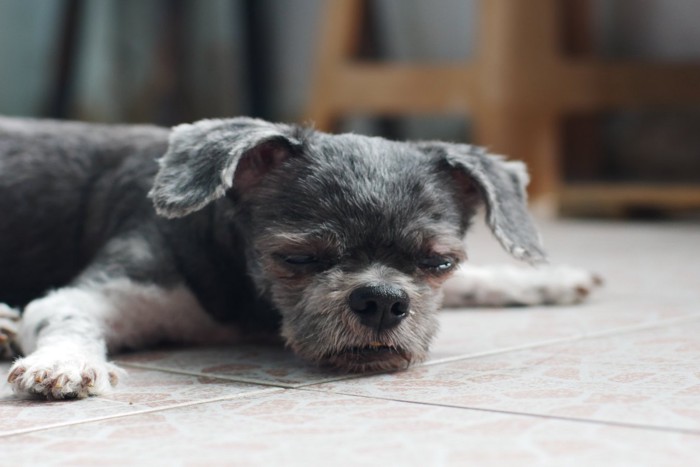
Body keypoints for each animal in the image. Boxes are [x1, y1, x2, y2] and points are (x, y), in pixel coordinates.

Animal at [0, 116, 600, 398]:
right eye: (299, 258)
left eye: (439, 262)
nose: (381, 300)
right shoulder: (108, 288)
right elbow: (68, 317)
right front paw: (65, 363)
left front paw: (544, 281)